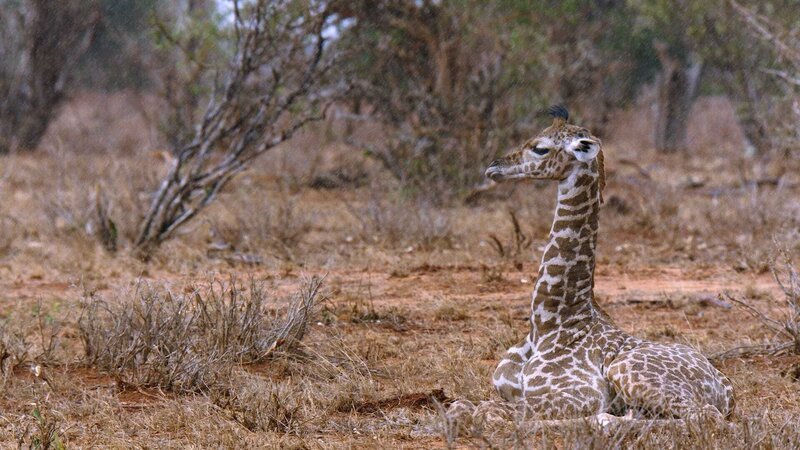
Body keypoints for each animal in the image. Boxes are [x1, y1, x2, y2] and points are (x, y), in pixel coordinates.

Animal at [446, 105, 736, 432]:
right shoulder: (506, 389)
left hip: (627, 369)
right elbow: (460, 406)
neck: (547, 324)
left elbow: (491, 413)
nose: (494, 167)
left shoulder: (580, 394)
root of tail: (727, 389)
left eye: (540, 148)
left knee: (705, 418)